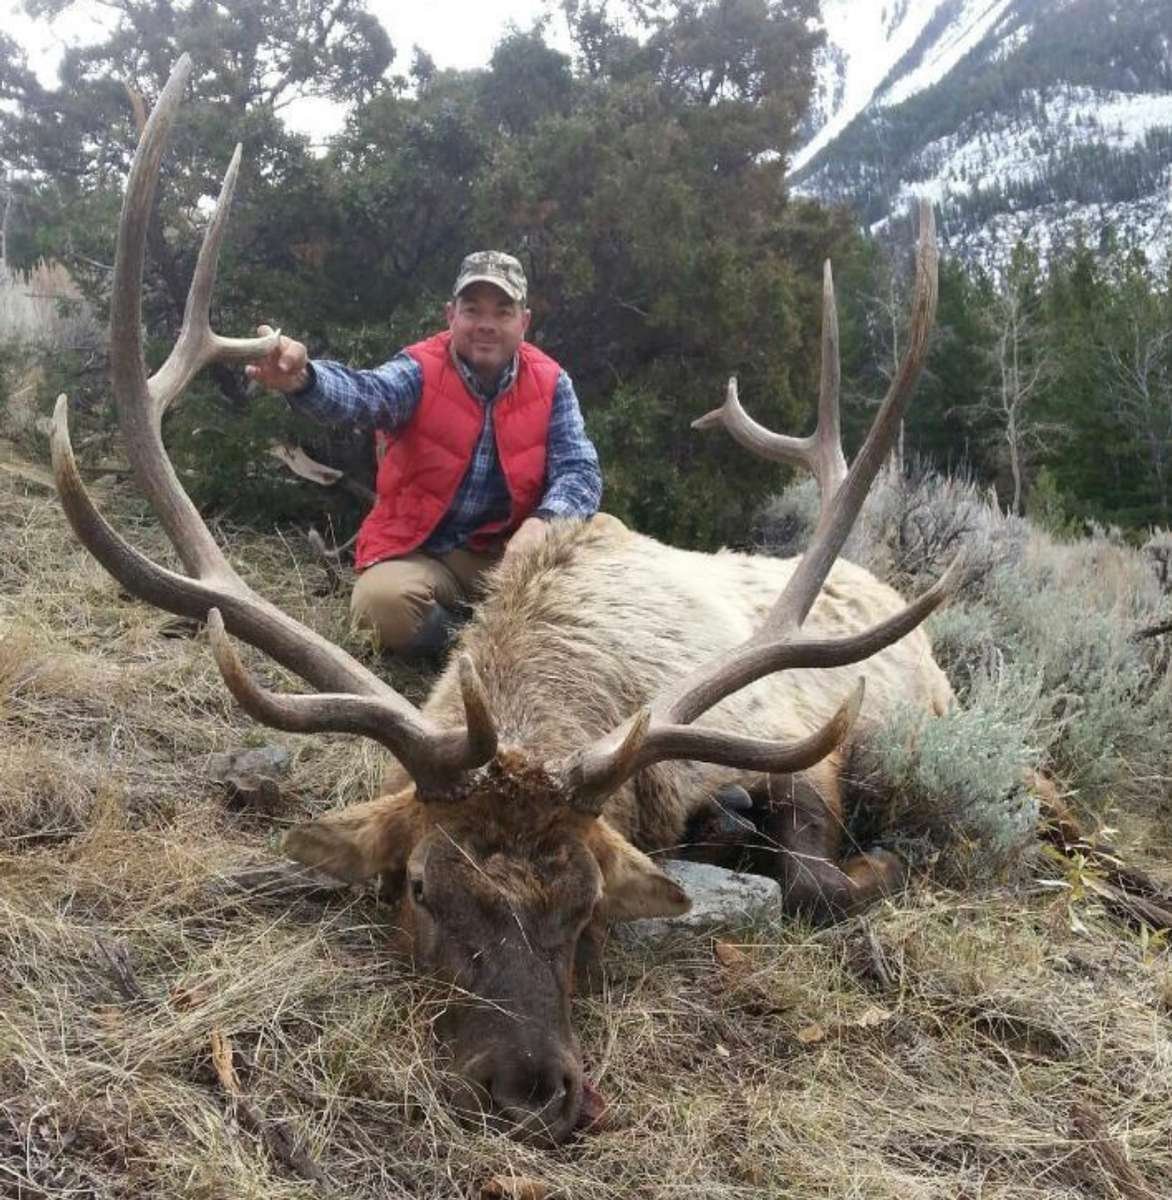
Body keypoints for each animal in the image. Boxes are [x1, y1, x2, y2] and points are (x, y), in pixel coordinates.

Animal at [52, 56, 960, 1145]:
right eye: (417, 886)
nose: (534, 1089)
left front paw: (864, 865)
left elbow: (819, 881)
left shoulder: (794, 745)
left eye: (584, 904)